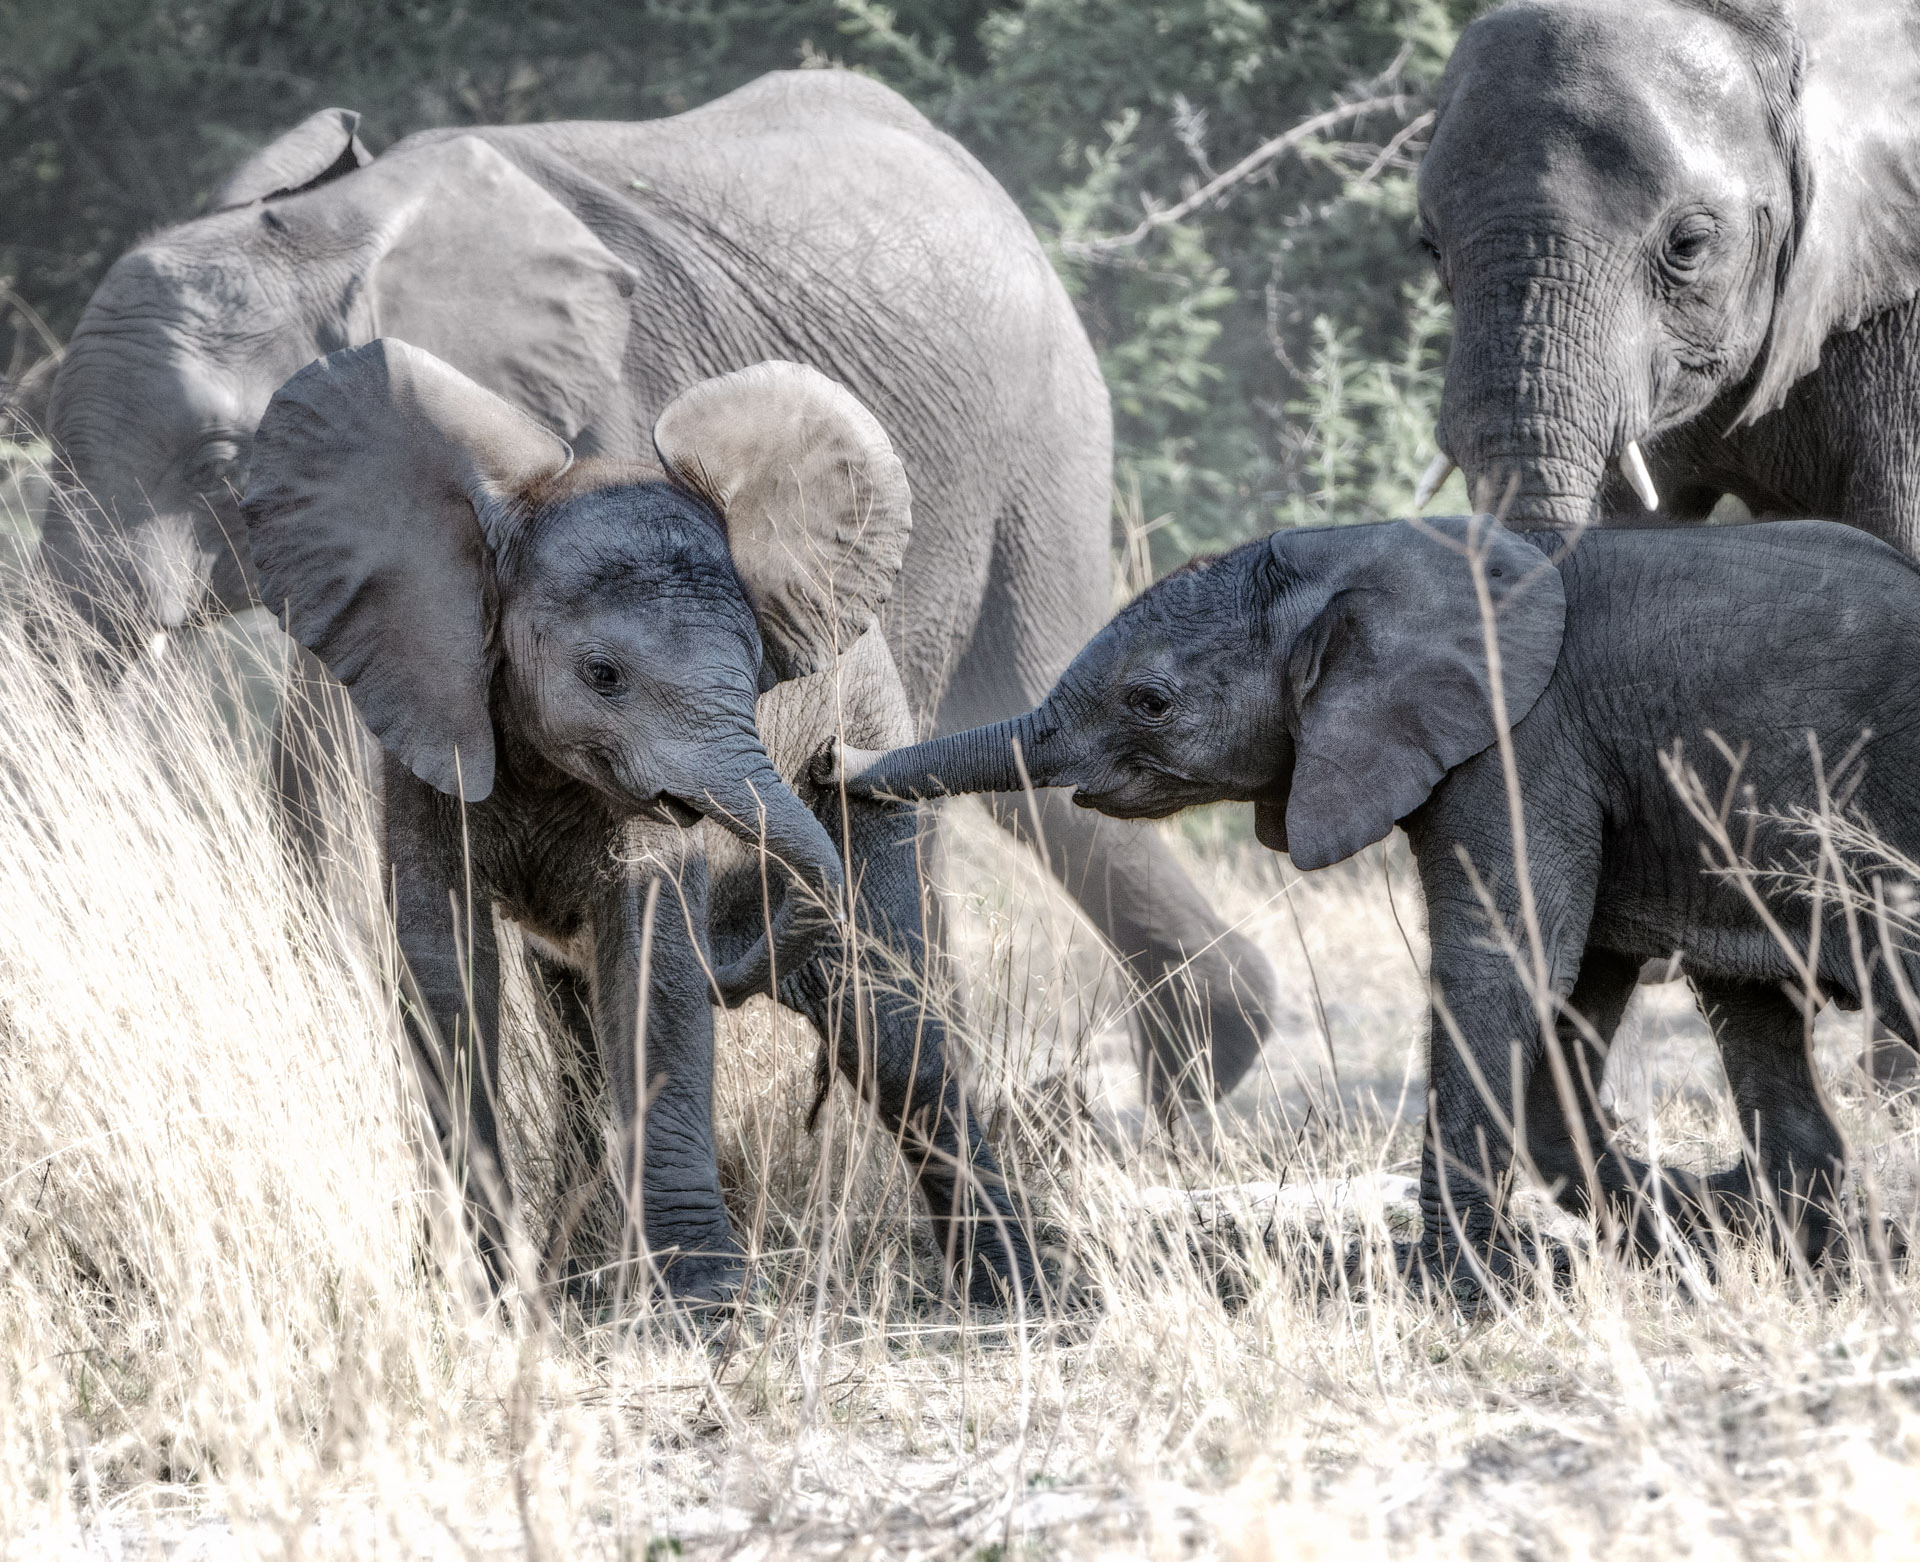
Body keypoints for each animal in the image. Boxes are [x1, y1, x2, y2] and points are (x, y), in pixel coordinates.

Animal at [242, 337, 1035, 1304]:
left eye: (758, 668)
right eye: (603, 676)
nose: (822, 765)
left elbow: (656, 963)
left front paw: (700, 1308)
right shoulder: (430, 720)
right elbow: (442, 965)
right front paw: (477, 1290)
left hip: (882, 745)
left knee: (891, 1037)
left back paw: (1021, 1296)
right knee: (584, 1041)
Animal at [835, 514, 1920, 1288]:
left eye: (1150, 702)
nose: (831, 763)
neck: (1365, 554)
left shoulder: (1524, 743)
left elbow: (1503, 963)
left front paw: (1452, 1293)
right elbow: (1567, 1004)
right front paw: (1707, 1231)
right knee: (1756, 1010)